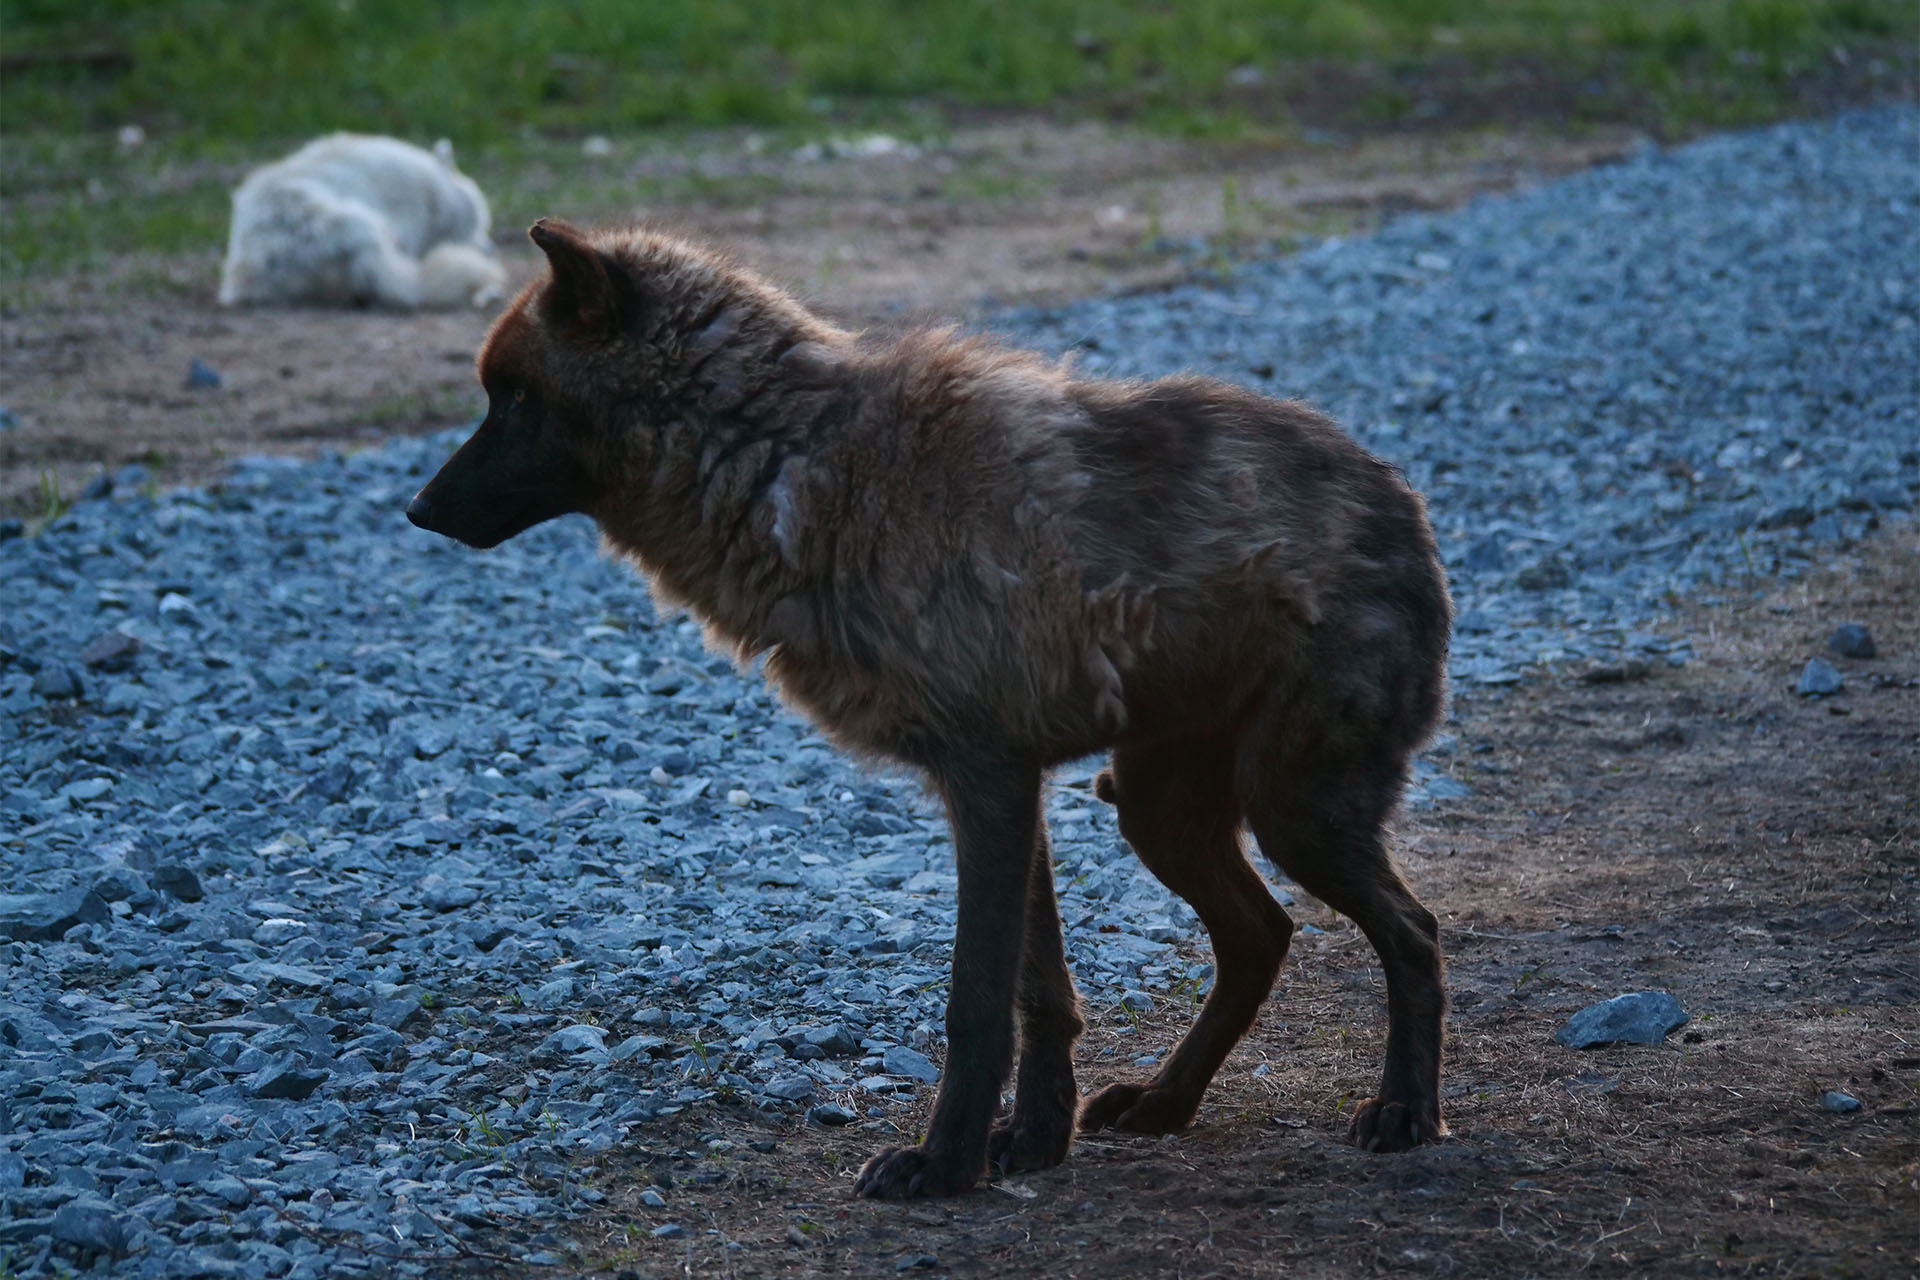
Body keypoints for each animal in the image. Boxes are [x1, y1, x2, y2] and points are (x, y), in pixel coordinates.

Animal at [408, 220, 1451, 1205]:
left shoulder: (988, 783)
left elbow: (978, 1000)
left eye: (515, 397)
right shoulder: (1003, 792)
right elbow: (1041, 992)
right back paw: (1165, 1102)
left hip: (1290, 812)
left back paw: (1406, 1112)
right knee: (1260, 937)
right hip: (1164, 812)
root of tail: (1401, 496)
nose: (417, 513)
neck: (793, 461)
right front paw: (1033, 1141)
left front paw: (945, 1164)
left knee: (1413, 934)